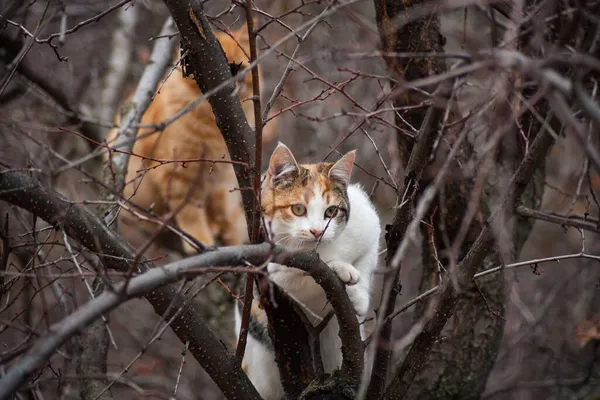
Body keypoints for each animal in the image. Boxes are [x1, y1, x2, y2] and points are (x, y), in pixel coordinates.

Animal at [105, 22, 276, 253]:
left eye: (240, 68)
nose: (237, 81)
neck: (214, 124)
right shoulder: (178, 175)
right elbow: (191, 211)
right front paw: (201, 238)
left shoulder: (222, 178)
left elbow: (220, 207)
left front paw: (225, 230)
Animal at [234, 142, 380, 398]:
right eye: (298, 209)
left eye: (331, 211)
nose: (317, 231)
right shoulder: (275, 268)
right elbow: (311, 272)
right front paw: (339, 267)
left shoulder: (370, 225)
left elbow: (365, 262)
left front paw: (358, 298)